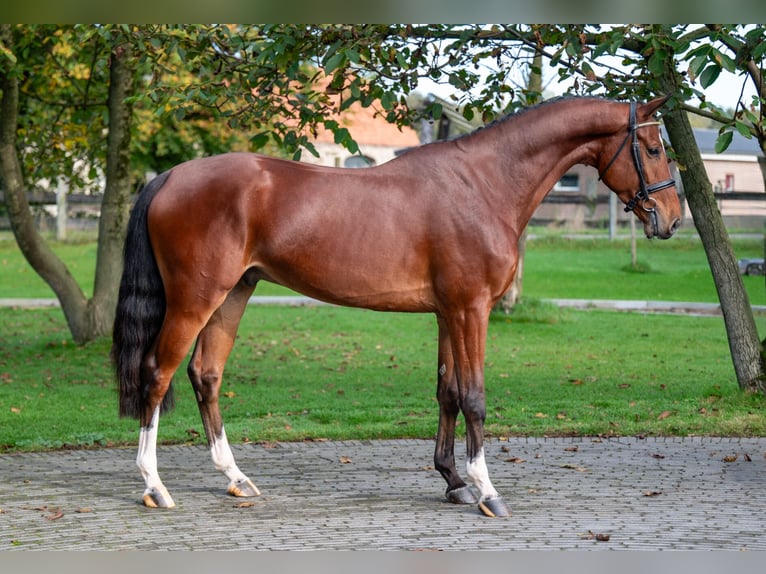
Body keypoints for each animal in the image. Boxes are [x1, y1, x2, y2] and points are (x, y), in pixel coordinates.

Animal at [111, 94, 680, 516]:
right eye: (653, 148)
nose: (672, 219)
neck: (484, 183)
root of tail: (169, 176)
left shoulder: (448, 312)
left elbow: (447, 392)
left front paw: (454, 482)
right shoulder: (471, 310)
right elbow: (474, 397)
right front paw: (487, 491)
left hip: (234, 293)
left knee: (206, 374)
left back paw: (236, 477)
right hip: (196, 298)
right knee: (157, 373)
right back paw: (155, 486)